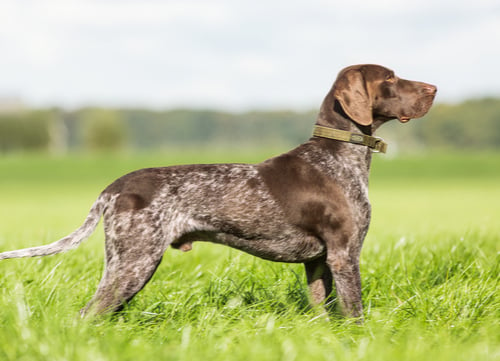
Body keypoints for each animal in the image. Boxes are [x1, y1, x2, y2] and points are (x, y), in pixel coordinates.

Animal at [0, 64, 438, 318]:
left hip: (125, 263)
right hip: (135, 263)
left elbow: (323, 312)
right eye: (390, 79)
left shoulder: (319, 262)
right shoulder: (345, 255)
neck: (339, 156)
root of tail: (114, 187)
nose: (434, 88)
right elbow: (354, 312)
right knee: (89, 315)